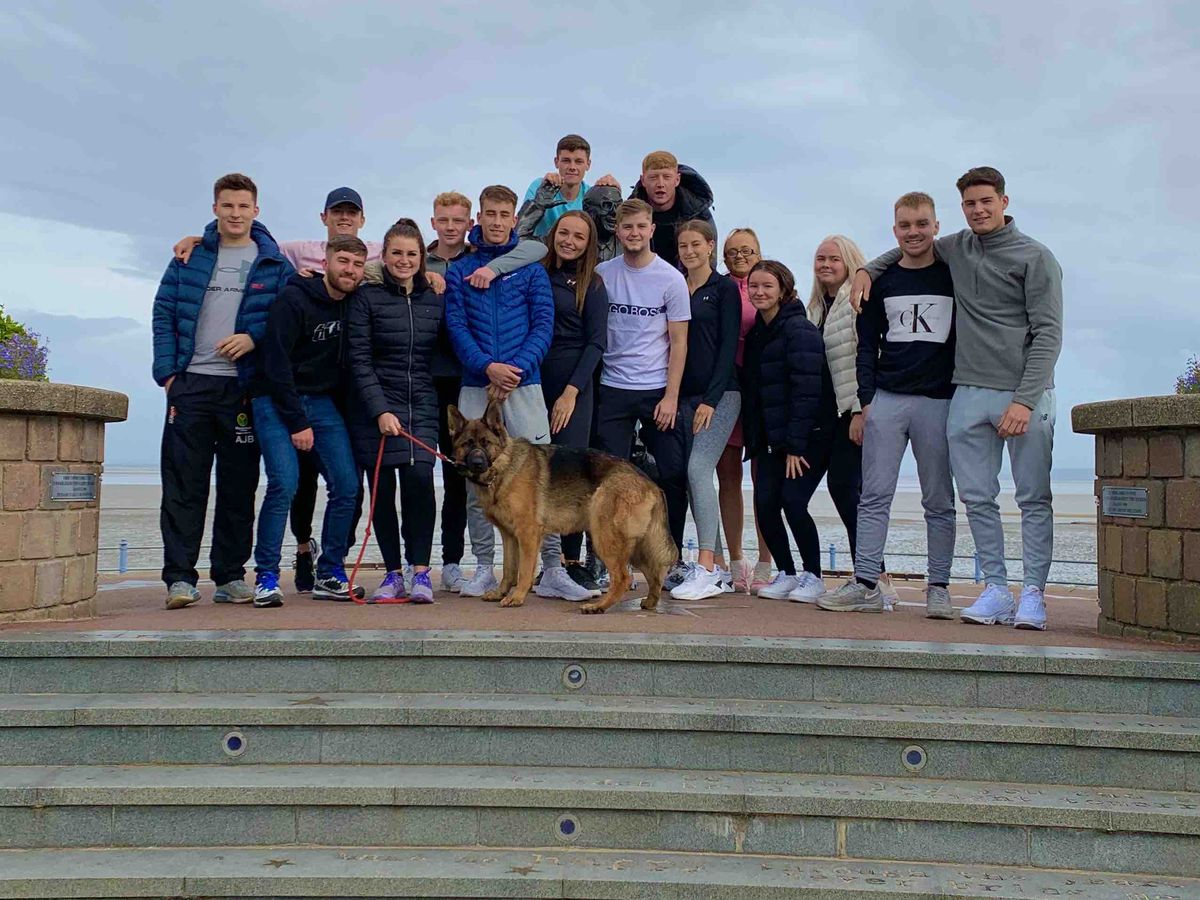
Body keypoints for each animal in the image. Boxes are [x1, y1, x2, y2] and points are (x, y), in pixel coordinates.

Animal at [447, 401, 676, 613]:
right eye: (467, 444)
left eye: (486, 443)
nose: (477, 463)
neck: (504, 468)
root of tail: (649, 482)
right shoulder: (509, 536)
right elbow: (508, 570)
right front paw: (501, 592)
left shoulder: (527, 535)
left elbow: (524, 571)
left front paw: (517, 597)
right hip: (637, 546)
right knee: (654, 573)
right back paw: (649, 602)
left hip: (604, 538)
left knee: (623, 578)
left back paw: (598, 606)